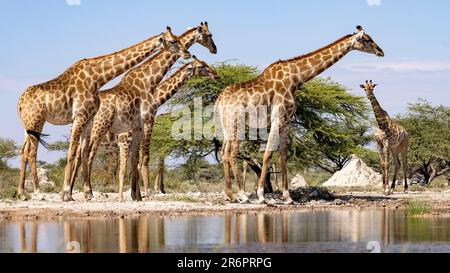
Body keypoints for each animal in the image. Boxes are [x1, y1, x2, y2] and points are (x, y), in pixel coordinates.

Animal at [15, 26, 185, 199]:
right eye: (173, 41)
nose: (187, 53)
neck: (98, 78)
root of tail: (20, 103)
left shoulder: (88, 119)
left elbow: (84, 153)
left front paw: (86, 193)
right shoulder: (80, 116)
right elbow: (72, 154)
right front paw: (66, 194)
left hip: (28, 125)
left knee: (24, 151)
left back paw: (22, 193)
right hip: (37, 121)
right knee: (32, 152)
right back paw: (37, 191)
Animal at [66, 22, 218, 201]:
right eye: (209, 35)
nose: (214, 50)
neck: (151, 85)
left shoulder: (134, 134)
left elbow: (135, 163)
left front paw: (136, 195)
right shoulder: (136, 131)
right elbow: (140, 161)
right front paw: (142, 195)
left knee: (78, 157)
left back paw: (72, 193)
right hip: (98, 131)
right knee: (87, 157)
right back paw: (83, 193)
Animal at [214, 26, 384, 204]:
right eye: (367, 39)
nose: (381, 52)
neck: (296, 79)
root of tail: (219, 100)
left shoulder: (287, 121)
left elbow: (282, 153)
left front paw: (287, 196)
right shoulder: (277, 118)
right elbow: (268, 153)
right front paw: (261, 195)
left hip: (226, 125)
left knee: (224, 152)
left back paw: (231, 194)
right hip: (236, 124)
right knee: (232, 153)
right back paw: (242, 195)